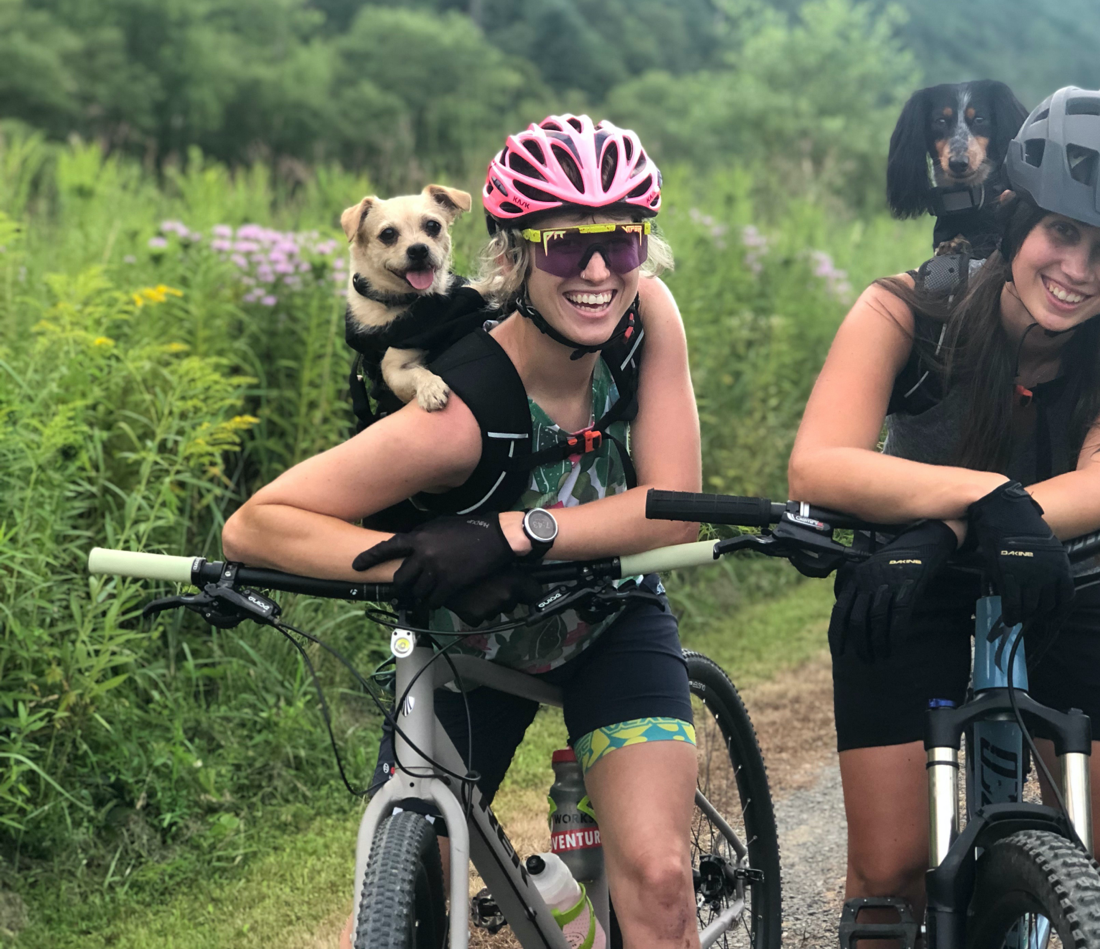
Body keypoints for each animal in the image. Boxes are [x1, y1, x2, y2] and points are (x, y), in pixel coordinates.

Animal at [336, 183, 470, 409]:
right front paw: (430, 388)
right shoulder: (393, 368)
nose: (418, 249)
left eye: (433, 226)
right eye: (388, 233)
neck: (412, 300)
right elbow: (416, 372)